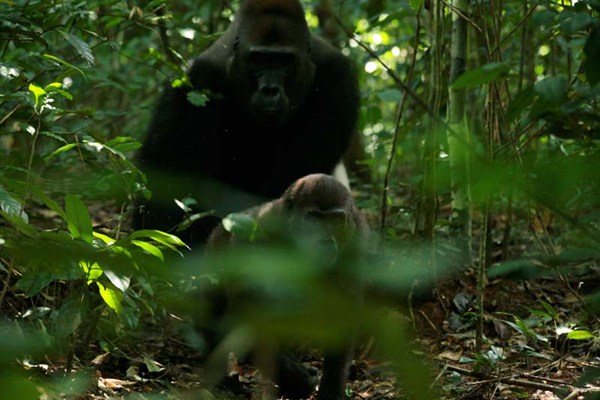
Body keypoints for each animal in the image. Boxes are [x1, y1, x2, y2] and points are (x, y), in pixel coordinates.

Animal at [204, 174, 368, 400]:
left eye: (334, 221)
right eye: (314, 219)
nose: (326, 241)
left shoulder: (356, 236)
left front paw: (331, 389)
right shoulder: (259, 233)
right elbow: (247, 313)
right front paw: (299, 379)